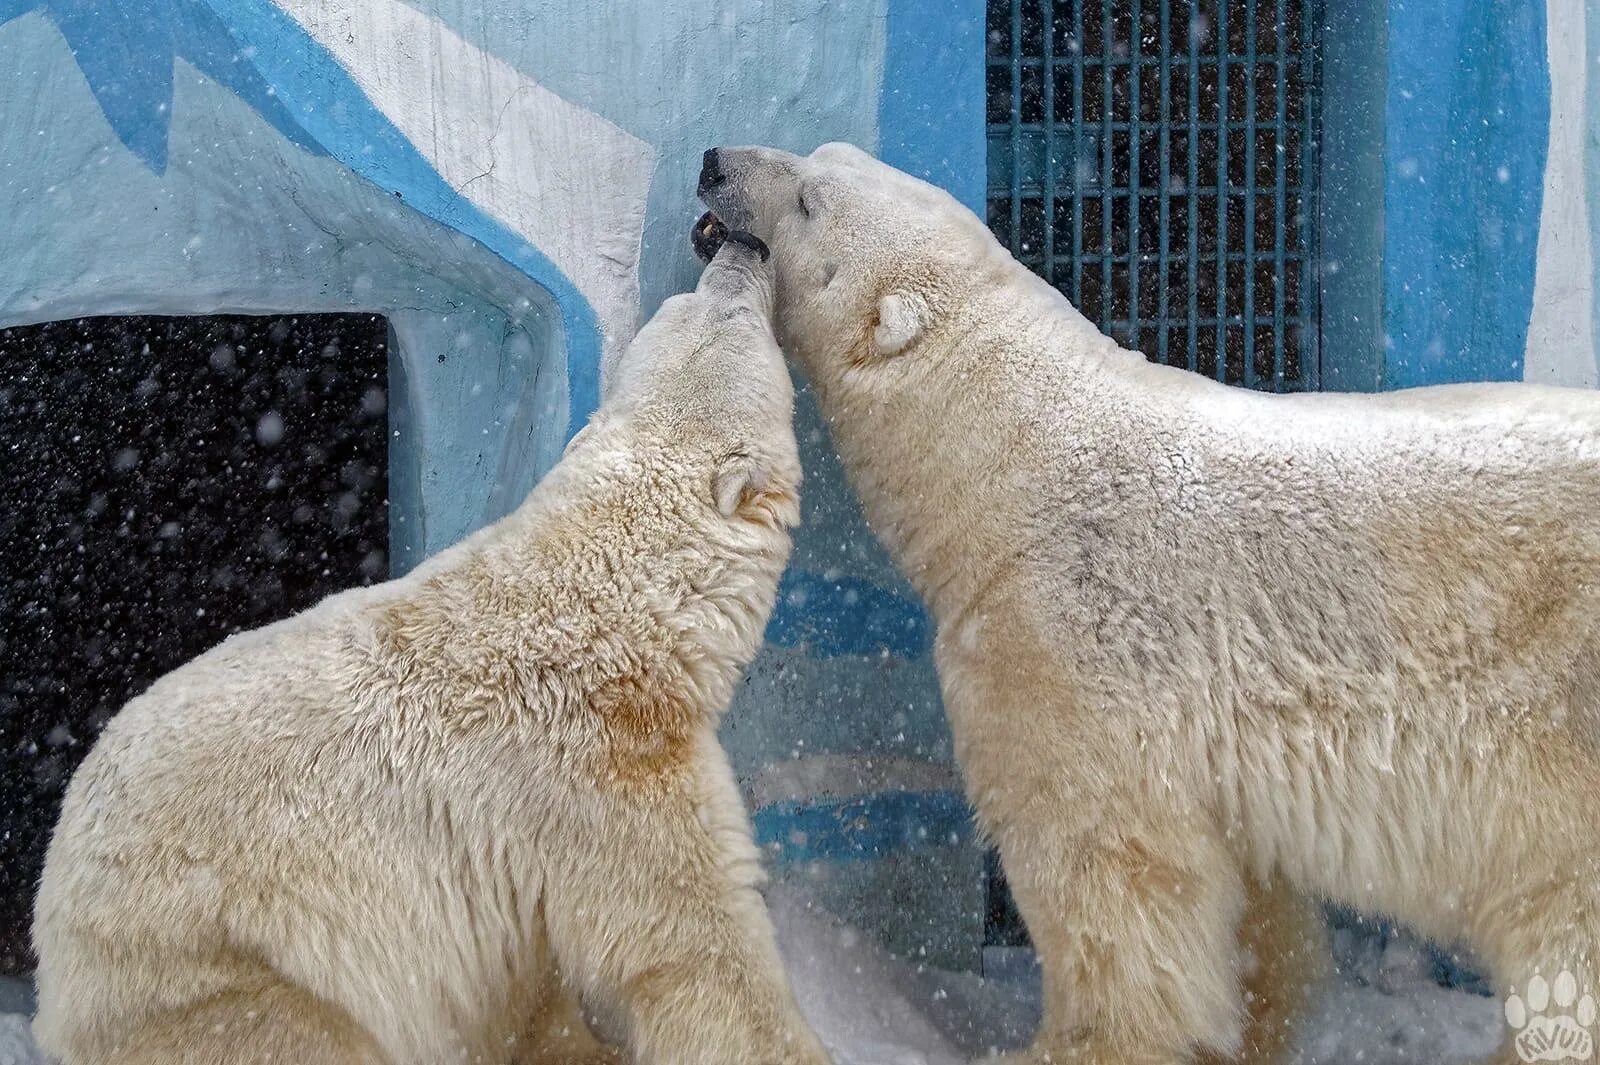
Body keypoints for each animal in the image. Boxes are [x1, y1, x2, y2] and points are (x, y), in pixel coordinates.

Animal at [31, 235, 832, 1061]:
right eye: (729, 315)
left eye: (694, 303)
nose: (741, 244)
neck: (610, 612)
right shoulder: (594, 781)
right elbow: (694, 952)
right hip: (213, 964)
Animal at [697, 143, 1600, 1061]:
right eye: (823, 157)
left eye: (810, 198)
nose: (714, 162)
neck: (1014, 472)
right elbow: (1250, 895)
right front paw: (1251, 1027)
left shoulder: (1064, 650)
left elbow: (1108, 865)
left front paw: (1063, 1044)